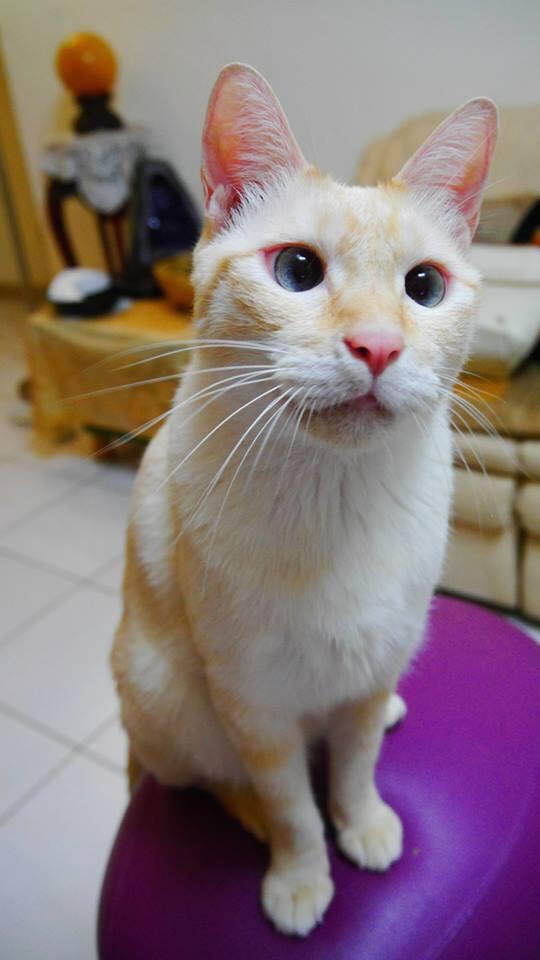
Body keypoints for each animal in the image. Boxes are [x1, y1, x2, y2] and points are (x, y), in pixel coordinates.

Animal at [111, 63, 497, 937]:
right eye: (295, 271)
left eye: (423, 286)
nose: (377, 347)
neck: (337, 498)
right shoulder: (253, 704)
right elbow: (291, 805)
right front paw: (301, 878)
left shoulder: (373, 660)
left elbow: (355, 767)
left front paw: (365, 825)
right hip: (164, 694)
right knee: (211, 783)